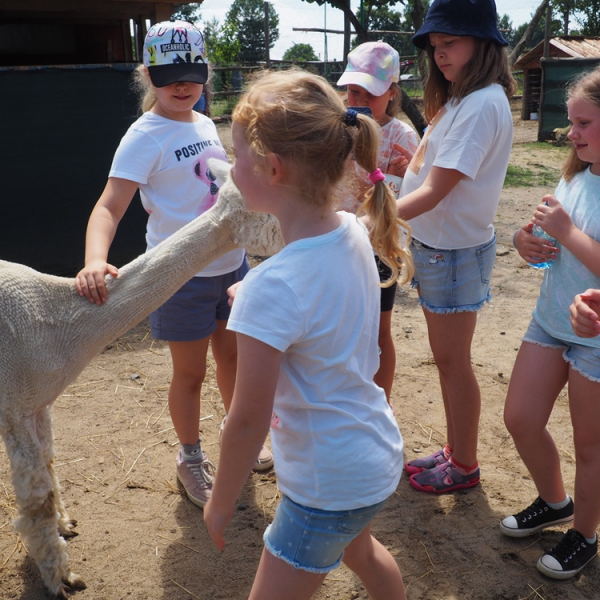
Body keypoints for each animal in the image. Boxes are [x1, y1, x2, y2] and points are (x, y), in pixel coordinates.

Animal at [0, 160, 283, 598]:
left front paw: (66, 525)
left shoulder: (39, 402)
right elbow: (39, 497)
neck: (51, 322)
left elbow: (50, 463)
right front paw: (61, 578)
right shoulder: (14, 406)